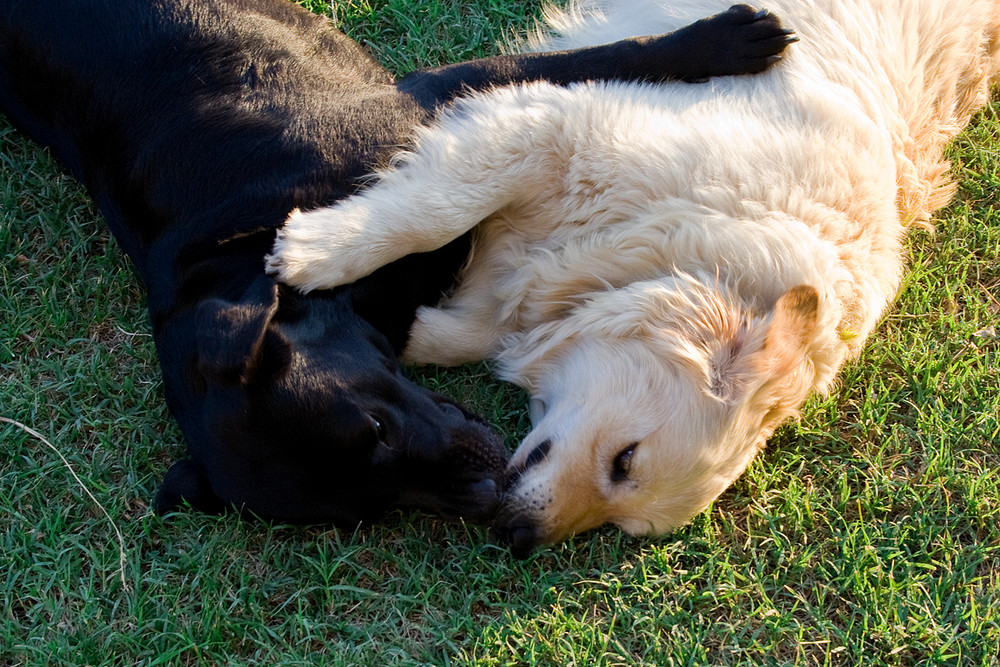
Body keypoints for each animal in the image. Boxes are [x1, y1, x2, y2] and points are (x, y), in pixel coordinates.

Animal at [0, 1, 792, 528]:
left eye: (376, 428)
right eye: (369, 506)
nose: (490, 508)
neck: (236, 241)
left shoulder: (435, 97)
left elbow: (588, 62)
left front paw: (722, 38)